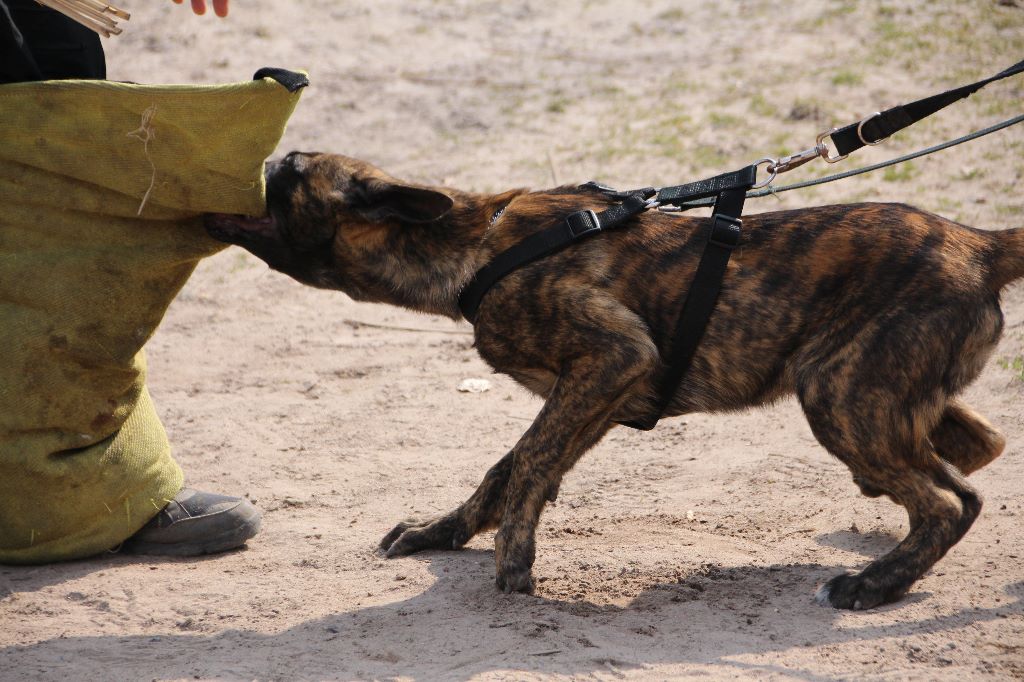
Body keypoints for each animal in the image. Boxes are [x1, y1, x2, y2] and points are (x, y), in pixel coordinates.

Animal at [203, 151, 1019, 606]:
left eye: (287, 172)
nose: (244, 164)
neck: (472, 246)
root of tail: (980, 245)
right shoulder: (601, 391)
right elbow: (507, 468)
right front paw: (447, 532)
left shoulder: (615, 359)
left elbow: (530, 458)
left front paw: (515, 561)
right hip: (873, 390)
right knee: (974, 459)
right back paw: (885, 546)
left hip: (838, 394)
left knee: (950, 500)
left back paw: (872, 585)